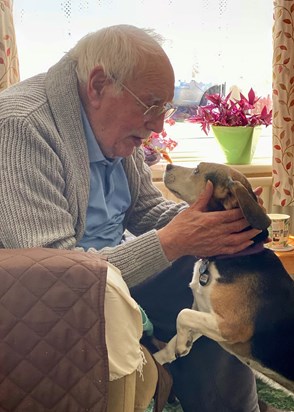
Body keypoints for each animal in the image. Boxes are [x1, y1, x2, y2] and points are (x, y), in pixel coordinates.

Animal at [154, 162, 294, 392]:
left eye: (197, 171)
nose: (167, 165)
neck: (232, 257)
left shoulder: (230, 326)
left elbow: (182, 315)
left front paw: (182, 344)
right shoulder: (204, 312)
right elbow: (178, 329)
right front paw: (160, 358)